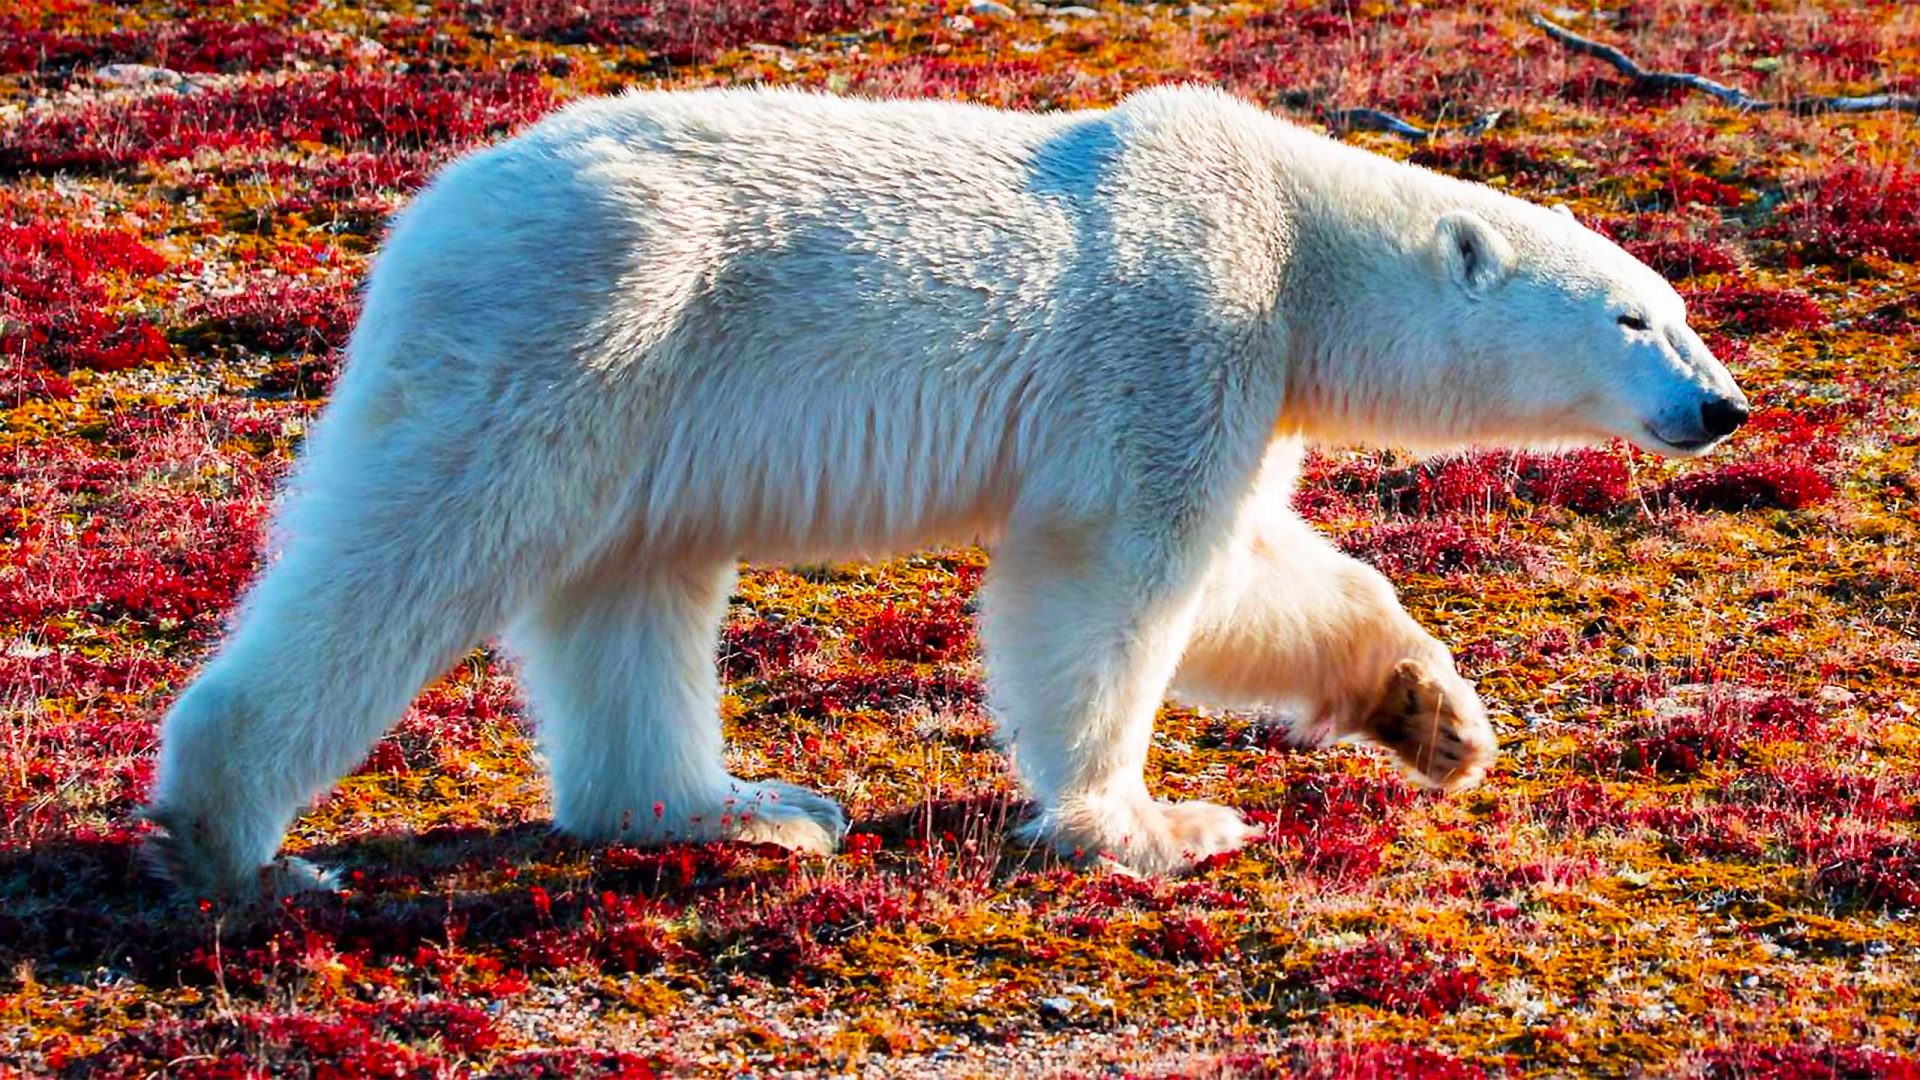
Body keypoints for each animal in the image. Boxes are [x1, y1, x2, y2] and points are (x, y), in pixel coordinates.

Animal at [142, 84, 1751, 891]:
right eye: (1632, 318)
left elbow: (1250, 571)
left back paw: (735, 809)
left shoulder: (1245, 372)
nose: (1722, 405)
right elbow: (1113, 573)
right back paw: (237, 840)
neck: (1294, 238)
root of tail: (432, 209)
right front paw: (1150, 825)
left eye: (1679, 307)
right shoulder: (1184, 325)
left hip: (645, 404)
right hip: (583, 329)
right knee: (417, 545)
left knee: (632, 596)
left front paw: (1438, 719)